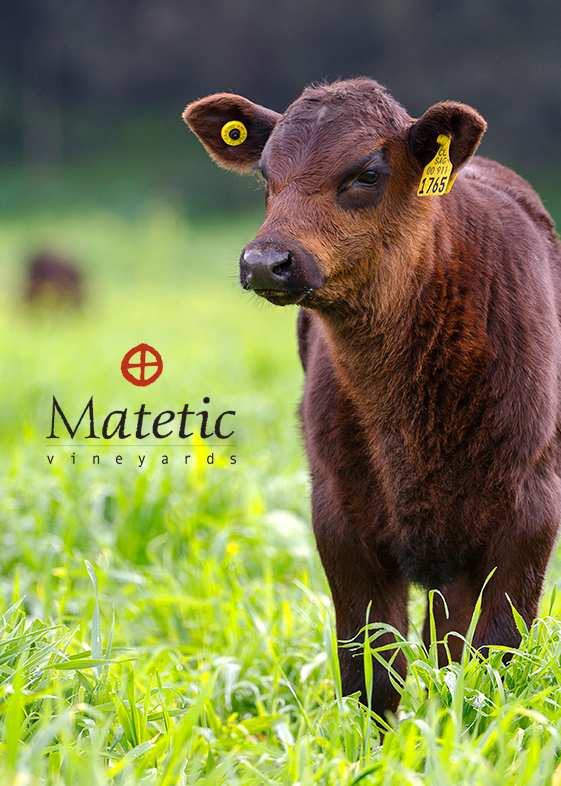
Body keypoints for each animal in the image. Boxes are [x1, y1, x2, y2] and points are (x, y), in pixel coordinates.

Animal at [183, 78, 561, 720]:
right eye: (264, 173)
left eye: (367, 173)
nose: (265, 261)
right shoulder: (339, 518)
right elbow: (372, 675)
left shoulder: (530, 515)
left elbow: (492, 663)